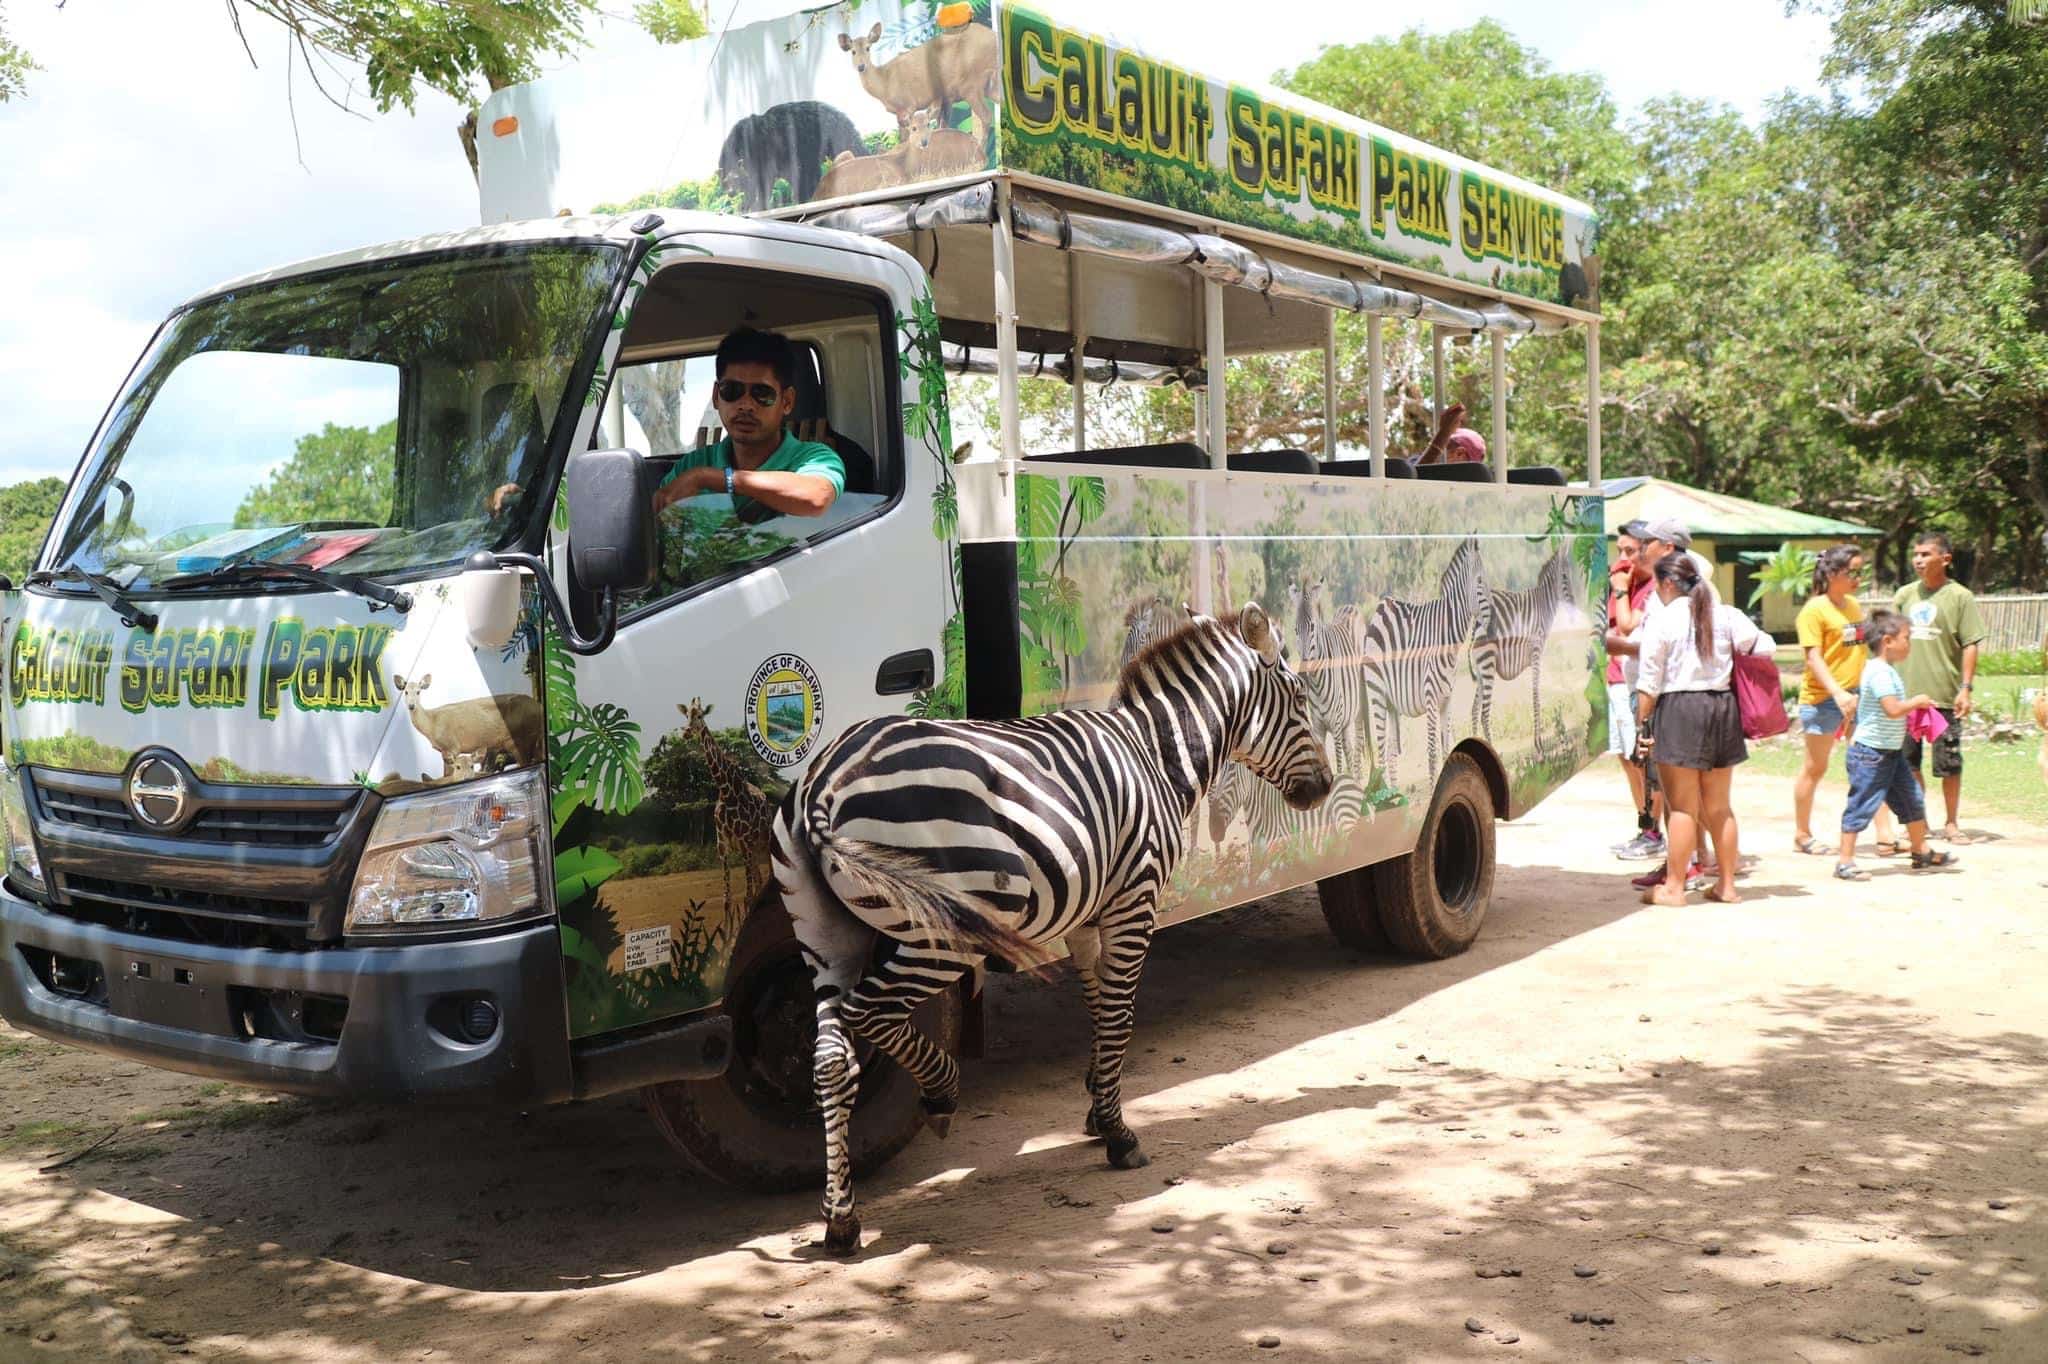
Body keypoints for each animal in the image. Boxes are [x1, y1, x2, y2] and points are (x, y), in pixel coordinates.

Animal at [770, 604, 1332, 1255]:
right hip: (946, 924)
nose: (1324, 786)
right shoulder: (1134, 899)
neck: (1155, 755)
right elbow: (1120, 1012)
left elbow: (1098, 1005)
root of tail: (824, 783)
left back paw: (841, 1219)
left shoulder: (1089, 913)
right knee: (869, 1013)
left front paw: (1096, 1102)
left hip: (825, 936)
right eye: (1299, 698)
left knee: (831, 1060)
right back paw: (942, 1092)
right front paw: (1117, 1134)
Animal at [1289, 573, 1366, 776]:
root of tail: (1350, 607)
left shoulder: (1336, 722)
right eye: (1295, 630)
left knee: (1359, 741)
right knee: (1350, 749)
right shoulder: (1318, 727)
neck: (1317, 683)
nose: (1303, 674)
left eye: (1313, 627)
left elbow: (1338, 765)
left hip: (1358, 706)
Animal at [1357, 537, 1488, 793]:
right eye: (1479, 581)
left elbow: (1447, 747)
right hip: (1377, 693)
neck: (1447, 638)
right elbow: (1432, 751)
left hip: (1391, 702)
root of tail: (1376, 616)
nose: (1490, 619)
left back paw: (1395, 796)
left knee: (1390, 751)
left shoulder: (1447, 698)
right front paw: (1434, 789)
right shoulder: (1430, 698)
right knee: (1381, 750)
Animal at [1470, 547, 1578, 752]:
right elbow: (1536, 694)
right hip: (1488, 665)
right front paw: (1539, 746)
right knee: (1484, 714)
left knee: (1473, 711)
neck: (1544, 605)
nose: (1574, 611)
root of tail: (1475, 624)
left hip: (1480, 671)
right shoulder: (1536, 653)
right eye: (1565, 577)